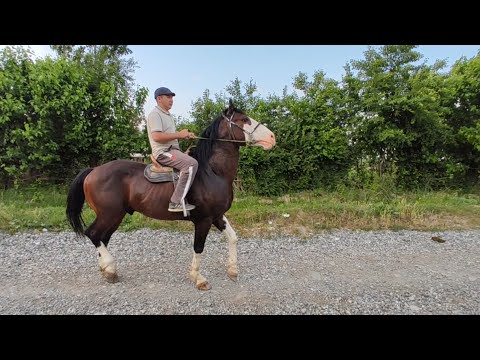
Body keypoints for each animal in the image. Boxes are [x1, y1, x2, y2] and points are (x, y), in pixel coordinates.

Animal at [67, 100, 278, 292]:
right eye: (244, 120)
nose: (272, 137)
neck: (212, 172)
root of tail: (93, 170)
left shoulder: (217, 216)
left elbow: (233, 238)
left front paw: (233, 270)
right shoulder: (204, 220)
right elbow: (198, 247)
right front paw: (198, 278)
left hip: (115, 216)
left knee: (102, 238)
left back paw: (107, 270)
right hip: (110, 214)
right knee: (93, 234)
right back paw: (109, 268)